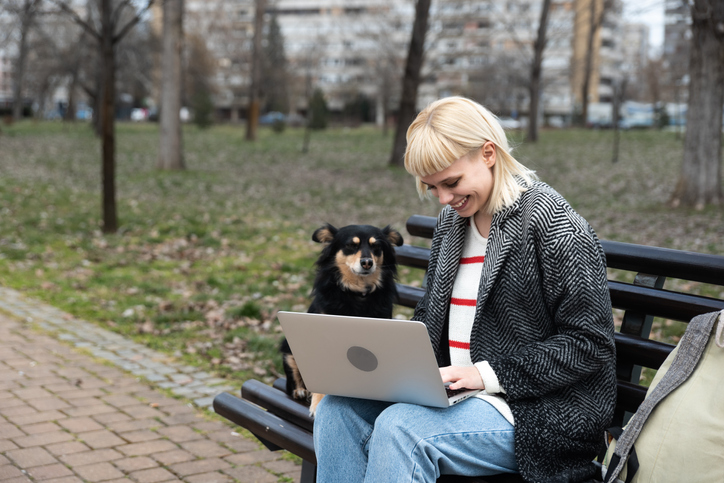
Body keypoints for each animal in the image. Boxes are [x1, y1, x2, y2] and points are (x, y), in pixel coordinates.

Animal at [280, 225, 404, 414]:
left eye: (377, 247)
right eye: (350, 245)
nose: (367, 262)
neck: (357, 291)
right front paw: (318, 402)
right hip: (288, 345)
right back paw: (300, 390)